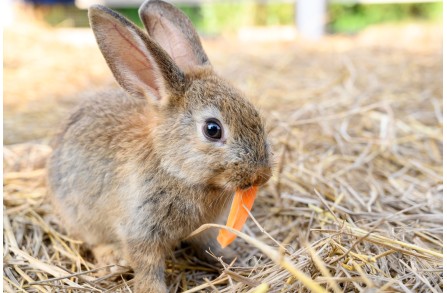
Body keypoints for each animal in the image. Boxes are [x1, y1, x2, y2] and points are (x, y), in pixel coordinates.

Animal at [48, 1, 272, 290]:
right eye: (213, 129)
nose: (262, 175)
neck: (174, 169)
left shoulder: (205, 228)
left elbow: (210, 246)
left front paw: (233, 260)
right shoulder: (140, 230)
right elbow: (147, 266)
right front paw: (151, 289)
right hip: (80, 216)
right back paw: (112, 261)